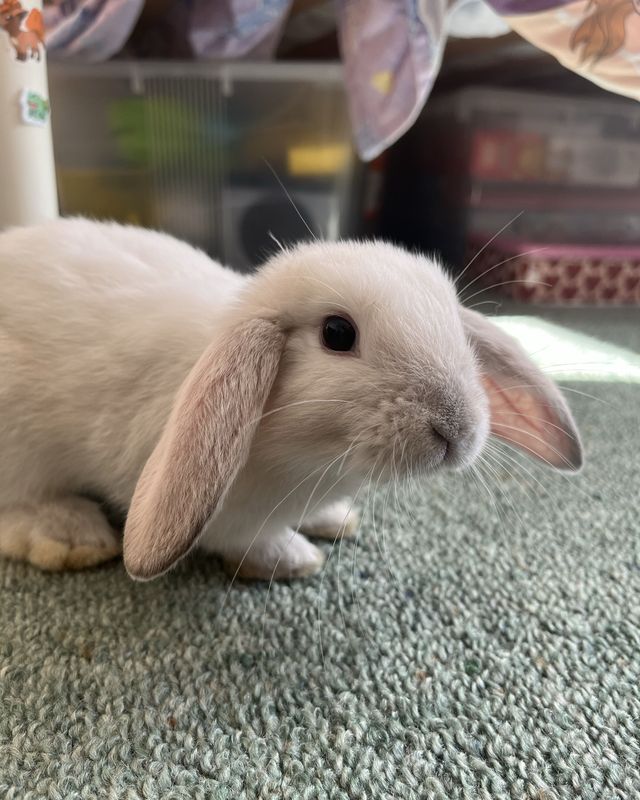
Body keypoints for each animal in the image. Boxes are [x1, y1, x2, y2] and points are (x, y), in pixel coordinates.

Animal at [0, 218, 582, 581]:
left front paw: (335, 521)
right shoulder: (228, 518)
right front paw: (293, 561)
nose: (456, 431)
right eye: (337, 334)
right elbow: (246, 541)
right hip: (22, 452)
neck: (309, 455)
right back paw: (71, 536)